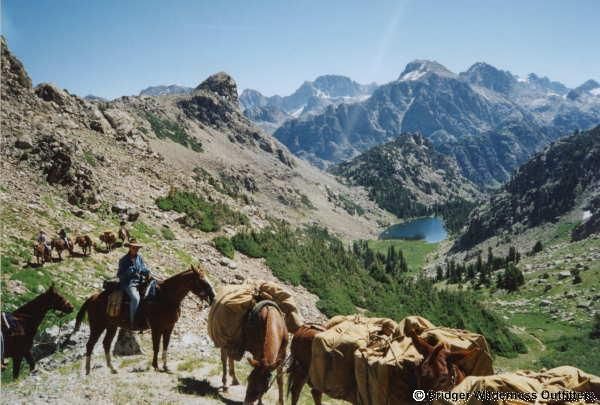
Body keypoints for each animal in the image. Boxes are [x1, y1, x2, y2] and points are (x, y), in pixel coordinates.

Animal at [73, 264, 214, 374]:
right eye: (202, 281)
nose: (213, 296)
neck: (165, 298)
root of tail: (92, 297)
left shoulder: (169, 327)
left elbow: (165, 346)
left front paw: (166, 366)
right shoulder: (156, 328)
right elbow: (156, 347)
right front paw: (155, 366)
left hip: (111, 326)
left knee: (106, 344)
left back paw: (112, 368)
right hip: (97, 326)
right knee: (90, 344)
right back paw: (88, 370)